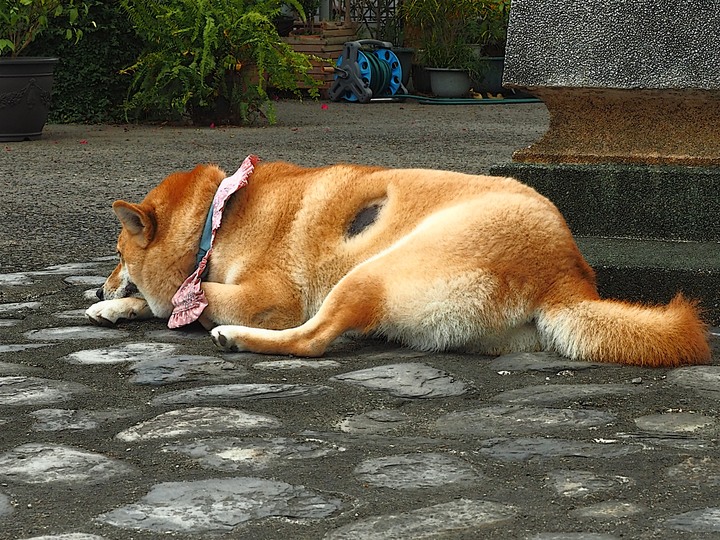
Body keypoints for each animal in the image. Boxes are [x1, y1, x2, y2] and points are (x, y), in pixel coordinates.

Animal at [86, 157, 708, 368]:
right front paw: (112, 309)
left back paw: (236, 338)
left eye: (116, 254)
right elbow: (162, 302)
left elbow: (180, 299)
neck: (217, 218)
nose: (96, 289)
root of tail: (567, 279)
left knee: (313, 340)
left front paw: (137, 302)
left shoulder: (272, 295)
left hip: (371, 270)